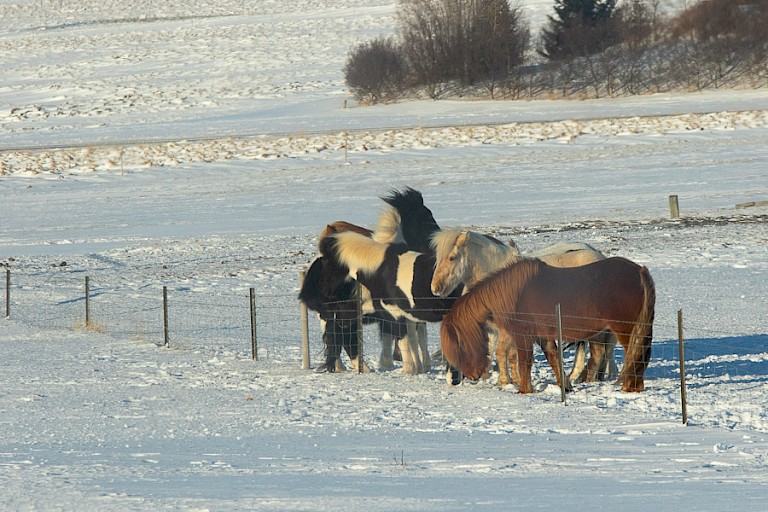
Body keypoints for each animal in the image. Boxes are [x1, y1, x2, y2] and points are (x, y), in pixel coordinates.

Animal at [318, 230, 462, 373]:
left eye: (327, 263)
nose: (323, 295)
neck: (381, 271)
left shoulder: (396, 315)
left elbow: (404, 342)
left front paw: (408, 371)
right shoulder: (408, 317)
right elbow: (413, 341)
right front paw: (418, 369)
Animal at [430, 228, 618, 383]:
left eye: (452, 257)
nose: (435, 288)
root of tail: (598, 255)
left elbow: (503, 354)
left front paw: (507, 382)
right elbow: (505, 354)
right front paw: (513, 380)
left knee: (599, 350)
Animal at [440, 257, 655, 393]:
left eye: (460, 345)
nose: (471, 375)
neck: (514, 294)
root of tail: (639, 270)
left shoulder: (523, 336)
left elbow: (525, 362)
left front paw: (524, 390)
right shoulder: (544, 337)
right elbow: (554, 359)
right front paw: (565, 386)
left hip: (625, 331)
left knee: (635, 357)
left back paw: (629, 388)